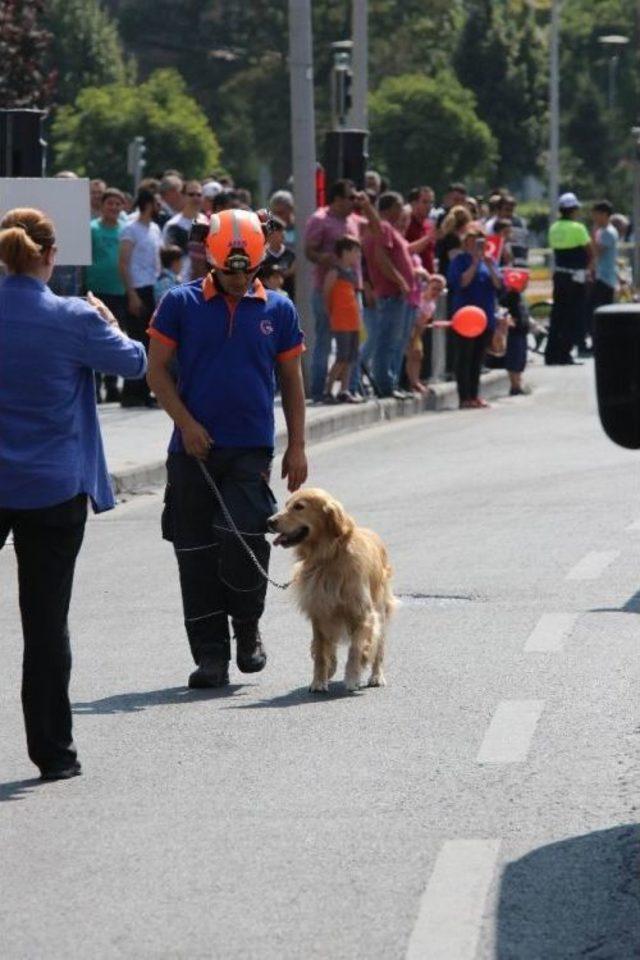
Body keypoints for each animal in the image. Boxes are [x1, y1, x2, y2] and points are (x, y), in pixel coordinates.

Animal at [266, 488, 396, 688]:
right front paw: (319, 681)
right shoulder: (319, 611)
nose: (269, 521)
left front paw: (352, 676)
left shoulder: (362, 613)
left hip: (380, 609)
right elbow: (321, 651)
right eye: (286, 504)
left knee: (379, 646)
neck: (329, 556)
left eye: (299, 507)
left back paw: (376, 676)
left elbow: (356, 648)